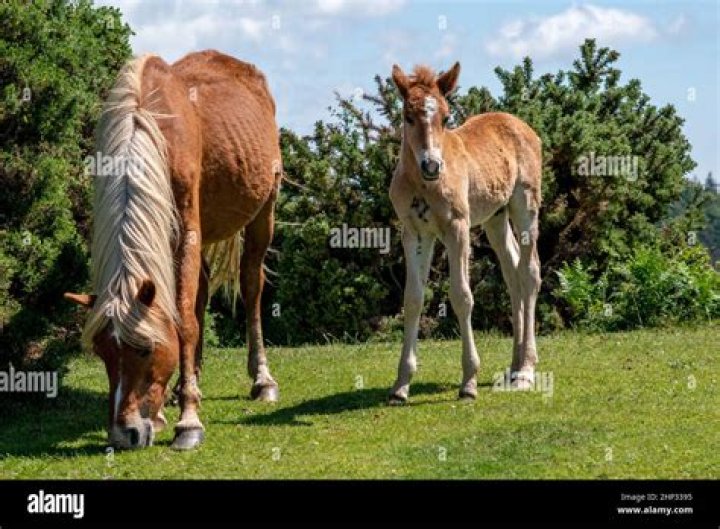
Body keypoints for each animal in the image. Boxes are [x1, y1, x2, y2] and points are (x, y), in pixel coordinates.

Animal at [64, 50, 282, 450]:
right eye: (102, 353)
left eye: (145, 349)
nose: (124, 434)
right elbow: (186, 312)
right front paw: (170, 405)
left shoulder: (187, 231)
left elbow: (184, 319)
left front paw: (188, 421)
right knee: (203, 290)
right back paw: (188, 380)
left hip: (265, 208)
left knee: (251, 286)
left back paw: (262, 380)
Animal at [388, 62, 542, 404]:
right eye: (407, 116)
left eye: (446, 117)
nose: (432, 166)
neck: (423, 185)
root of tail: (523, 126)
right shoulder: (414, 232)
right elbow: (413, 298)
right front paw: (401, 385)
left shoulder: (457, 228)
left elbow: (461, 296)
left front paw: (469, 381)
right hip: (495, 218)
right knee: (513, 273)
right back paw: (514, 366)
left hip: (525, 205)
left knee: (530, 272)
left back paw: (526, 370)